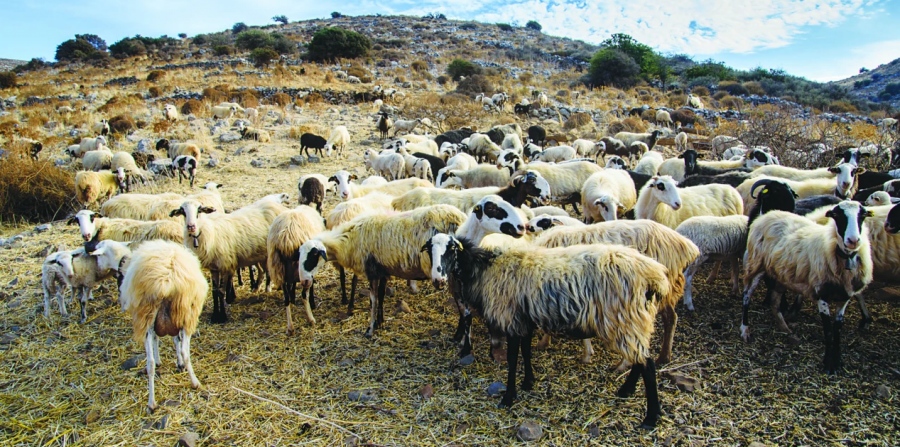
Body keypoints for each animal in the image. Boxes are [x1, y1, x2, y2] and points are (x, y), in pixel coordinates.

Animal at [114, 242, 207, 412]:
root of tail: (165, 282)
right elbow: (175, 341)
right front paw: (178, 363)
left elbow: (162, 340)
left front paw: (169, 361)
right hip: (186, 314)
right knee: (182, 353)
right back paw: (193, 383)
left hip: (148, 318)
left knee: (151, 361)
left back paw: (152, 401)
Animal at [268, 205, 326, 334]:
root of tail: (286, 236)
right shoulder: (307, 272)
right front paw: (312, 303)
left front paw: (293, 297)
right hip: (297, 272)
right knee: (304, 293)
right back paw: (311, 319)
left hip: (279, 268)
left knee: (286, 298)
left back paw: (290, 327)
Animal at [298, 205, 468, 338]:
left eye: (312, 257)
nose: (304, 281)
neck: (348, 240)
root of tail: (461, 218)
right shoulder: (383, 270)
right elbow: (380, 295)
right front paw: (380, 321)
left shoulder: (372, 270)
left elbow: (373, 300)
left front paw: (370, 329)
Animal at [426, 233, 672, 428]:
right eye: (429, 250)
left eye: (451, 250)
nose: (438, 280)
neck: (485, 269)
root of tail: (655, 276)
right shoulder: (524, 319)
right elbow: (526, 351)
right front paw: (528, 383)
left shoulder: (511, 317)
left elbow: (513, 358)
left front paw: (508, 397)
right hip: (635, 320)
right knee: (640, 359)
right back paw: (626, 391)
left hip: (625, 318)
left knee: (647, 365)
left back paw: (650, 418)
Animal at [740, 201, 872, 372]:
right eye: (837, 215)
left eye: (862, 215)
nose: (853, 240)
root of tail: (767, 214)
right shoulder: (822, 294)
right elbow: (828, 330)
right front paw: (828, 364)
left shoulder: (844, 297)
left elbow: (837, 329)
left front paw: (837, 362)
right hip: (756, 265)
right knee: (746, 296)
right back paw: (745, 330)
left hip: (781, 274)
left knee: (775, 301)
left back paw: (785, 328)